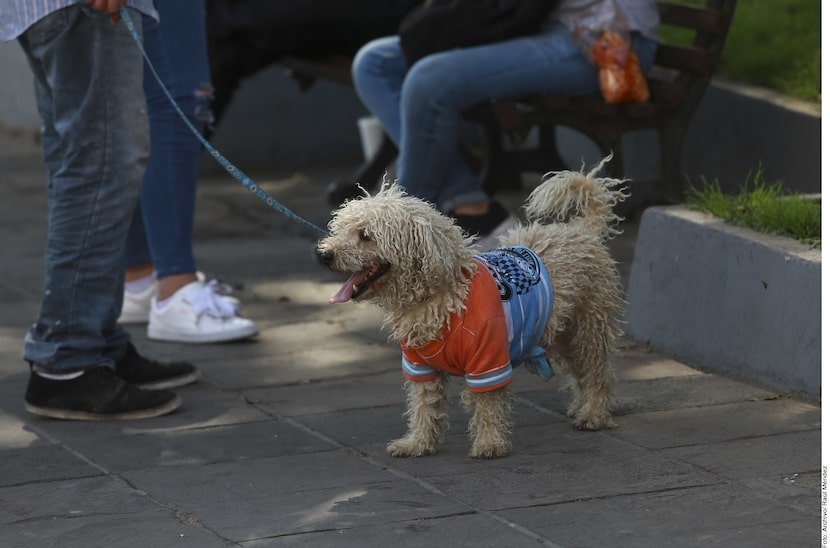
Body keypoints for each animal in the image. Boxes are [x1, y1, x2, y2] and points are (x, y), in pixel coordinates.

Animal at [318, 158, 632, 458]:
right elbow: (423, 406)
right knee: (582, 373)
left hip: (589, 326)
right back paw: (581, 407)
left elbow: (487, 406)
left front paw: (490, 444)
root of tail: (582, 230)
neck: (443, 296)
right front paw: (417, 443)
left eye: (366, 235)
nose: (324, 255)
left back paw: (594, 414)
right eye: (340, 229)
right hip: (563, 332)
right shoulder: (420, 366)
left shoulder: (488, 361)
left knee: (597, 372)